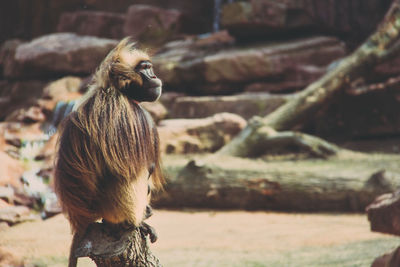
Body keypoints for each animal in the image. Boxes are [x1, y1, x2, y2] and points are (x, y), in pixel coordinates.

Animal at [54, 38, 164, 267]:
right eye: (145, 69)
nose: (155, 77)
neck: (115, 90)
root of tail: (82, 218)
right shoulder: (135, 116)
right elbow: (139, 169)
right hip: (109, 206)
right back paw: (132, 223)